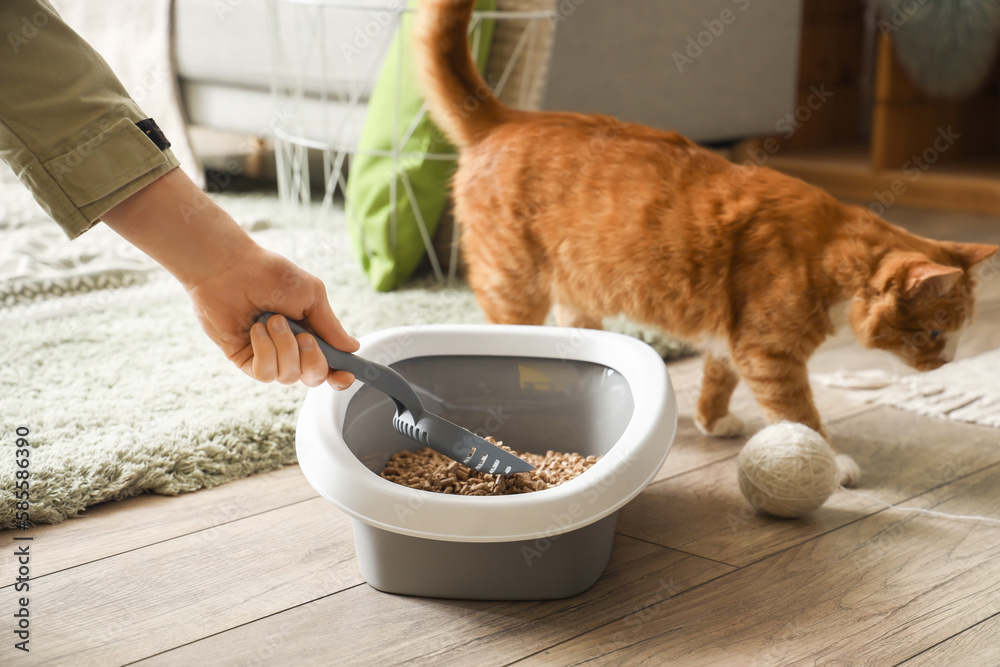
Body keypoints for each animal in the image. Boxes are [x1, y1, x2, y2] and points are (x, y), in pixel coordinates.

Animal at [412, 0, 992, 482]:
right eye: (936, 333)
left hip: (580, 300)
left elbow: (718, 378)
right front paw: (834, 462)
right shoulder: (770, 354)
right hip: (515, 286)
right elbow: (802, 414)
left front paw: (714, 421)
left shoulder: (732, 339)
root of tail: (509, 119)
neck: (827, 251)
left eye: (954, 335)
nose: (948, 363)